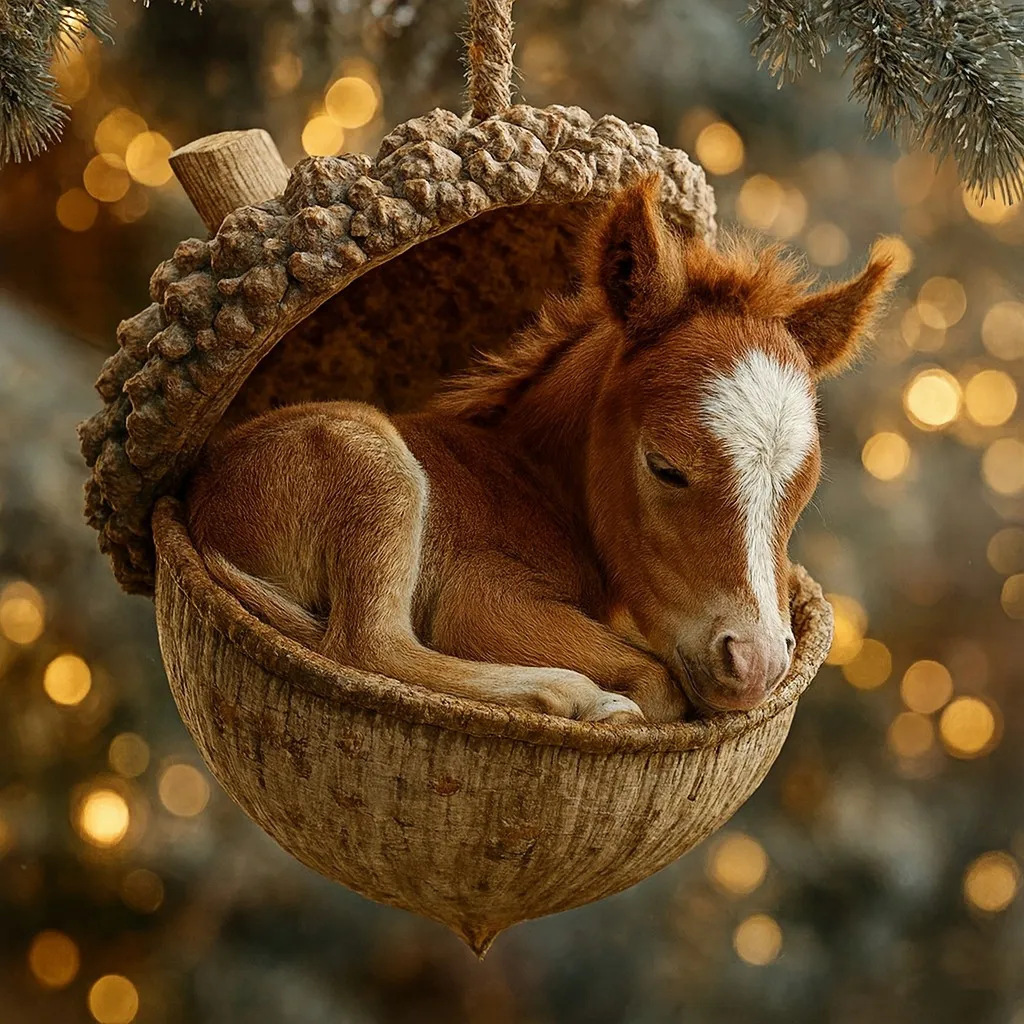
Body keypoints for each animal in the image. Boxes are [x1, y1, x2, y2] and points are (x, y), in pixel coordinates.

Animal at [186, 174, 895, 725]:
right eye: (665, 467)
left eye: (802, 489)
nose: (756, 665)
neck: (534, 483)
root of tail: (203, 498)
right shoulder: (482, 595)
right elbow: (659, 682)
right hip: (370, 461)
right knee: (367, 645)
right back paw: (576, 698)